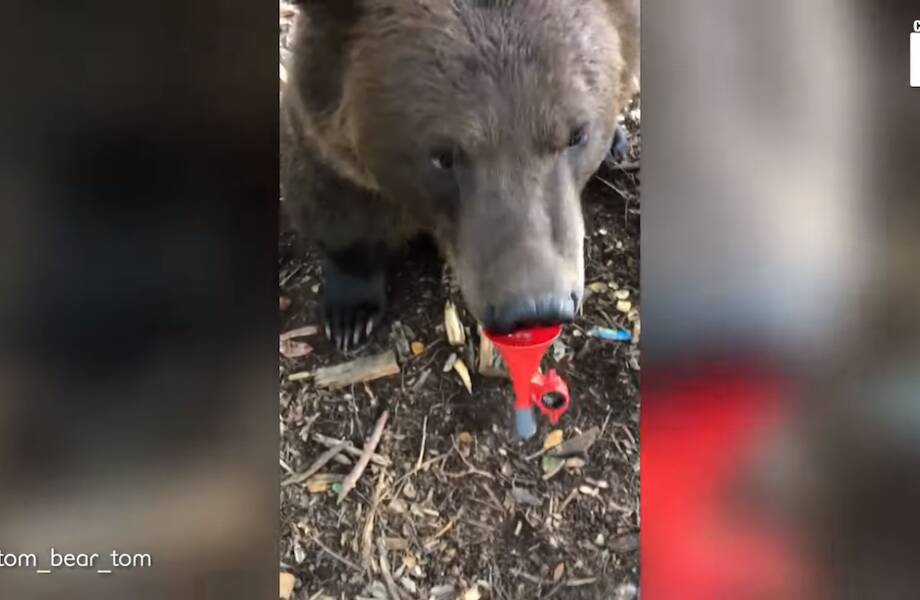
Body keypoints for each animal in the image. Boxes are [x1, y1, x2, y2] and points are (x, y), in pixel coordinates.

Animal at [282, 0, 640, 350]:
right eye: (442, 156)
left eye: (577, 135)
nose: (535, 308)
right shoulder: (325, 141)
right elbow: (339, 214)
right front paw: (350, 316)